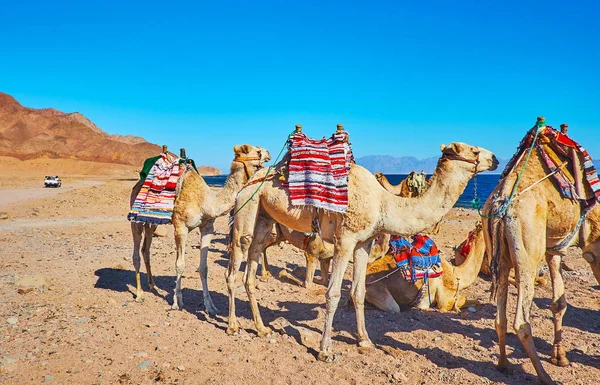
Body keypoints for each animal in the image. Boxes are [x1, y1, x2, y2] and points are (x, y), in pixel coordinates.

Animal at [132, 144, 274, 308]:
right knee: (136, 254)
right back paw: (139, 294)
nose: (269, 153)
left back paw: (153, 285)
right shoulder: (180, 227)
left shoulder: (207, 228)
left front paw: (210, 305)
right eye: (257, 150)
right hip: (135, 219)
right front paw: (177, 301)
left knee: (146, 250)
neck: (206, 202)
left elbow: (204, 267)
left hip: (152, 222)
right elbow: (179, 264)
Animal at [227, 138, 500, 360]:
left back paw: (261, 328)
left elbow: (358, 292)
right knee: (235, 264)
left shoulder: (363, 243)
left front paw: (365, 341)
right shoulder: (345, 239)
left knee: (250, 270)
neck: (383, 204)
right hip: (246, 207)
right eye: (474, 150)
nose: (495, 159)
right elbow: (333, 294)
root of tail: (249, 182)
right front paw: (325, 350)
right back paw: (232, 326)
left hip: (264, 217)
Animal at [480, 123, 600, 384]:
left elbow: (559, 302)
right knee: (521, 322)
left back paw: (504, 364)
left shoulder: (554, 248)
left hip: (500, 253)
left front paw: (560, 356)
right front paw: (558, 358)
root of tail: (501, 202)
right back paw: (545, 376)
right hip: (527, 253)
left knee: (500, 317)